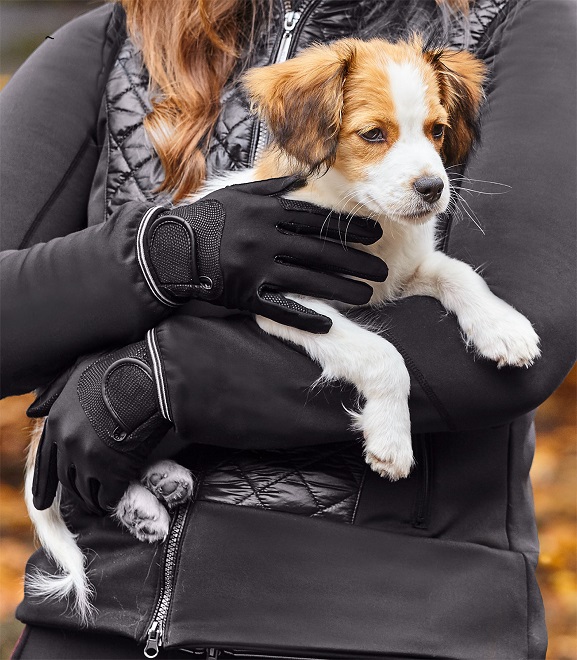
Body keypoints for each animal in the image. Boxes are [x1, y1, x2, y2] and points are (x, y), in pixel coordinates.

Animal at [23, 36, 540, 624]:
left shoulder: (408, 270)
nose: (433, 189)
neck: (361, 220)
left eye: (435, 130)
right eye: (373, 134)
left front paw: (503, 328)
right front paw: (391, 436)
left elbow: (459, 273)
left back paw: (160, 483)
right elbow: (381, 353)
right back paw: (138, 503)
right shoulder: (288, 302)